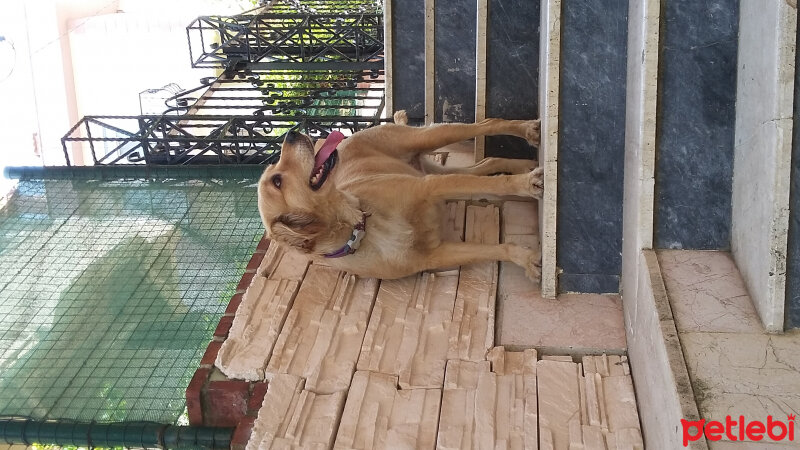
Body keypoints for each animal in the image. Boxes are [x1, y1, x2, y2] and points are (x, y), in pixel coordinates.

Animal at [256, 110, 544, 282]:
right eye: (277, 181)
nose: (291, 132)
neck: (360, 230)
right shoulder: (438, 254)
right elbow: (493, 249)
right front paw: (527, 259)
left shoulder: (430, 186)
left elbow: (499, 185)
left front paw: (526, 185)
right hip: (435, 167)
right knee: (485, 163)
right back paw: (524, 164)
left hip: (427, 139)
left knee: (486, 124)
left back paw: (528, 132)